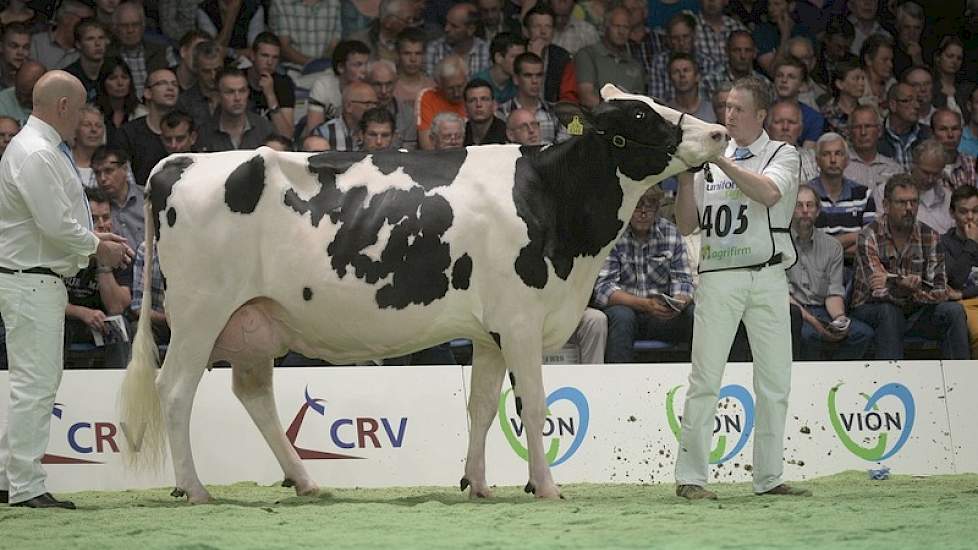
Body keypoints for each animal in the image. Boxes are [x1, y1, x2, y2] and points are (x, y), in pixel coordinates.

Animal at [118, 85, 724, 504]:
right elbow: (532, 404)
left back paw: (304, 481)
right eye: (641, 115)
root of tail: (181, 161)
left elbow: (482, 406)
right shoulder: (521, 322)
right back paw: (194, 489)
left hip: (253, 321)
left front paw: (477, 484)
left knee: (254, 395)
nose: (719, 132)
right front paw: (546, 487)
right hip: (199, 313)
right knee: (175, 389)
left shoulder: (491, 331)